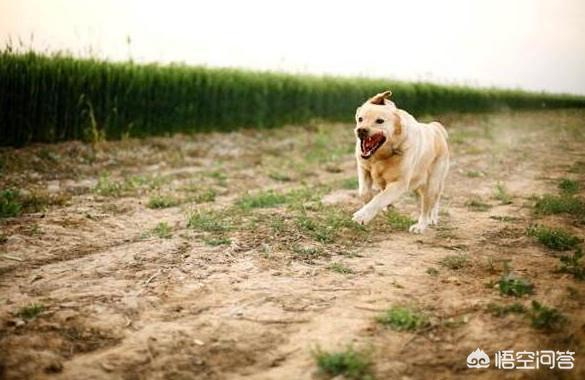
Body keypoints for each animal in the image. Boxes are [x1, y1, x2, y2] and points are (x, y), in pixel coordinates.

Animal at [352, 91, 448, 233]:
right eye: (360, 119)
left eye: (379, 121)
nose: (361, 130)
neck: (381, 156)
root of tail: (435, 127)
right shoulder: (363, 168)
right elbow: (364, 192)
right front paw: (371, 207)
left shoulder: (399, 183)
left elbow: (380, 198)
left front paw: (362, 216)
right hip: (417, 185)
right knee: (424, 202)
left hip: (432, 183)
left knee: (430, 204)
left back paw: (423, 224)